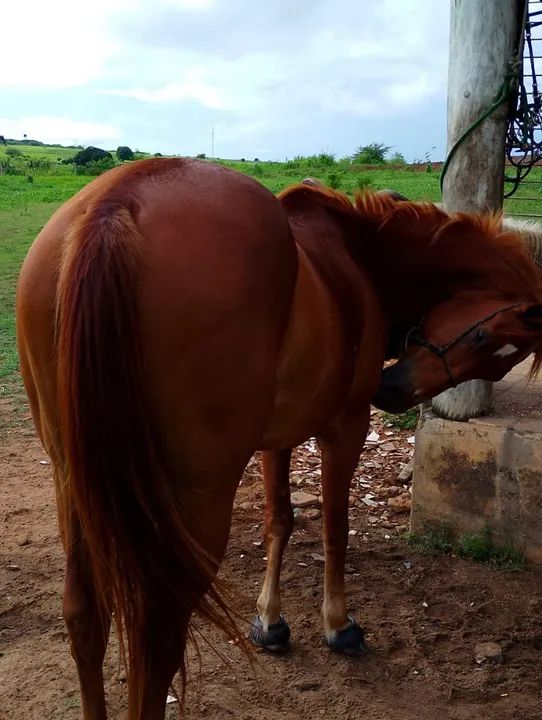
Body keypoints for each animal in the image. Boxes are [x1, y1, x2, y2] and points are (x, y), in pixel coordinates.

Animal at [15, 158, 542, 719]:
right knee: (156, 639)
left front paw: (270, 622)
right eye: (485, 340)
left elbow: (280, 521)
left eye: (498, 360)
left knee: (84, 616)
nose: (394, 391)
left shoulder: (276, 438)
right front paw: (338, 625)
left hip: (75, 486)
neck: (361, 256)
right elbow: (335, 526)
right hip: (197, 501)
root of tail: (116, 203)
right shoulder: (346, 426)